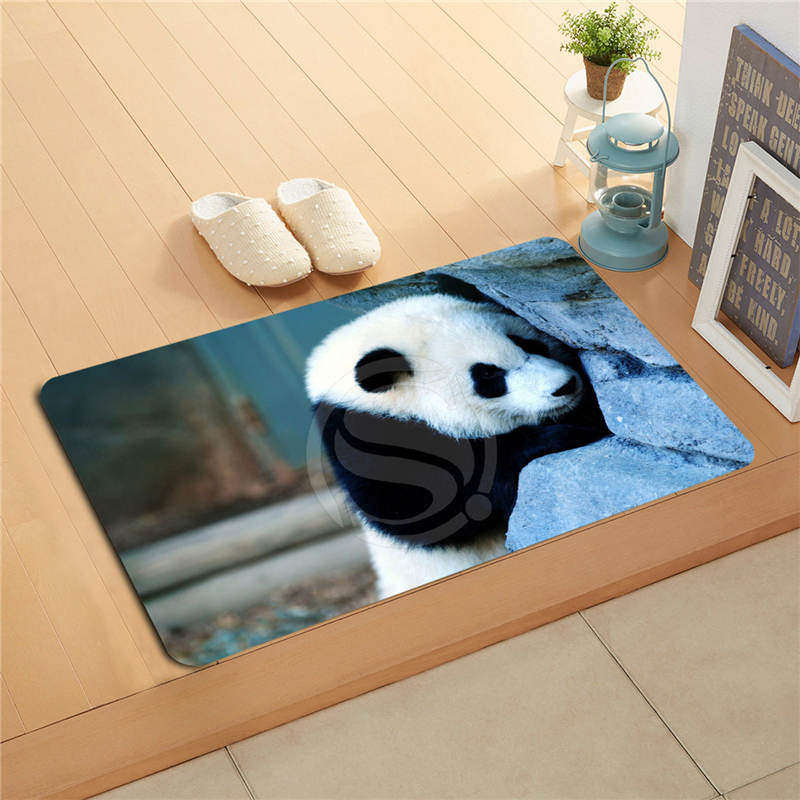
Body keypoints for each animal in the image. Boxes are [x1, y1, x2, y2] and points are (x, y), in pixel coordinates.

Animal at [306, 292, 609, 599]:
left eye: (526, 342)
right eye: (487, 376)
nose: (564, 386)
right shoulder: (366, 440)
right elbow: (427, 512)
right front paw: (559, 436)